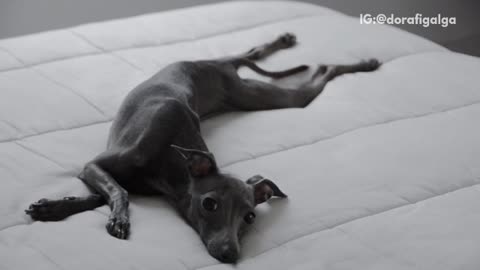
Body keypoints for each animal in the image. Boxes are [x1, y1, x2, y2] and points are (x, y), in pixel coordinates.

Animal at [26, 33, 380, 264]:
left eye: (250, 217)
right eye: (209, 204)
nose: (230, 255)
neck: (168, 162)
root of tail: (221, 69)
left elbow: (109, 193)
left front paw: (54, 207)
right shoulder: (96, 165)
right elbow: (116, 190)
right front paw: (60, 208)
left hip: (257, 95)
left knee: (294, 67)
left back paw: (355, 60)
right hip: (249, 86)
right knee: (274, 61)